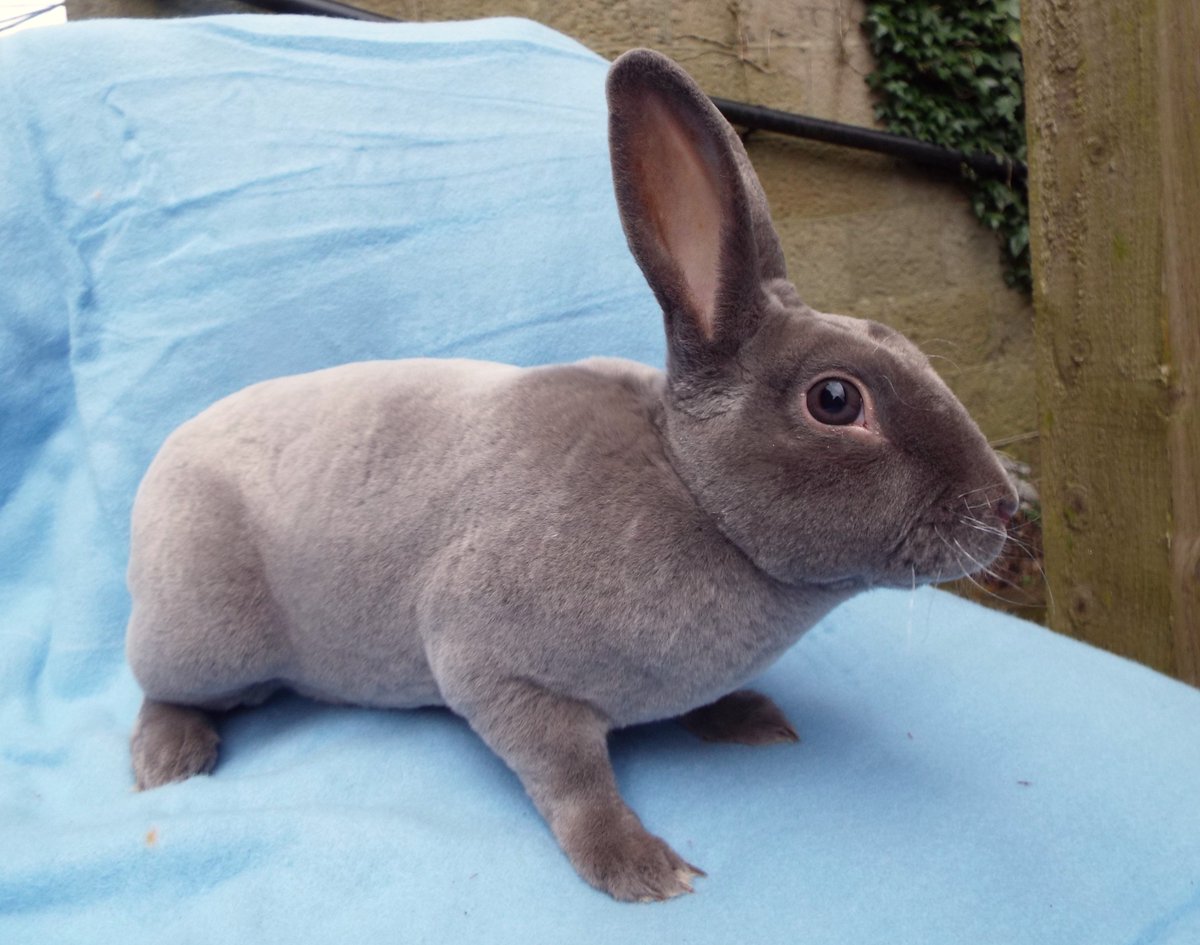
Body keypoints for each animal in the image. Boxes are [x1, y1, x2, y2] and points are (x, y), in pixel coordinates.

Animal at [126, 48, 1018, 902]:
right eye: (835, 399)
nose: (1004, 505)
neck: (691, 489)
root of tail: (162, 463)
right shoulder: (496, 669)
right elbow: (573, 777)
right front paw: (640, 868)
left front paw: (750, 718)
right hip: (203, 632)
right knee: (160, 684)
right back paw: (169, 760)